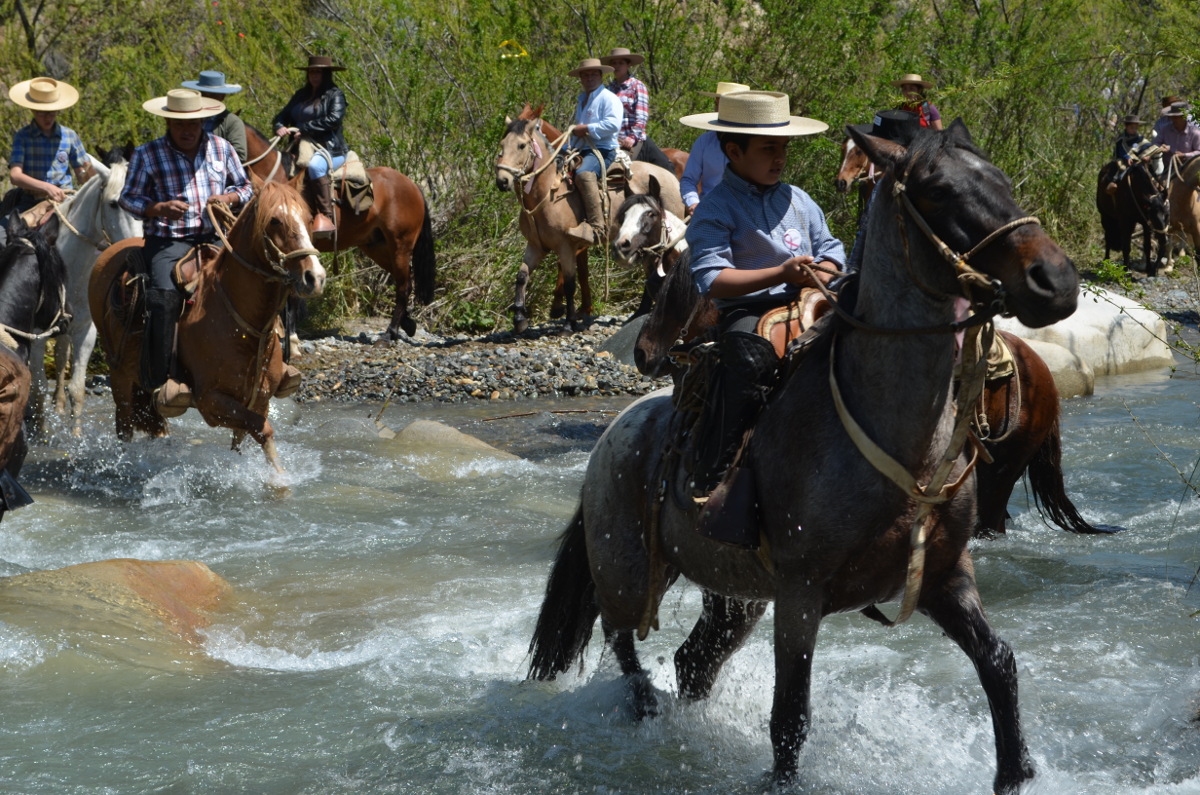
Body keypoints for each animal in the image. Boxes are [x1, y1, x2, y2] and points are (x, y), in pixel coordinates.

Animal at [29, 148, 140, 437]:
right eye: (113, 203)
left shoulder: (85, 332)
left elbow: (77, 389)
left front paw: (77, 435)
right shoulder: (36, 335)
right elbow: (37, 384)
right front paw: (40, 432)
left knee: (61, 358)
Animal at [87, 178, 328, 473]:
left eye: (308, 218)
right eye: (274, 221)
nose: (315, 277)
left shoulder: (259, 399)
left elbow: (248, 436)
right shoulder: (211, 401)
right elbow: (264, 430)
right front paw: (280, 480)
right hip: (120, 376)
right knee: (124, 428)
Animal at [241, 123, 434, 341]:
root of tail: (413, 186)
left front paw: (291, 333)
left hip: (401, 245)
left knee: (403, 286)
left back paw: (389, 333)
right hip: (377, 246)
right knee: (405, 281)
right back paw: (407, 324)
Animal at [496, 105, 686, 333]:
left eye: (522, 145)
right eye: (502, 145)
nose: (502, 180)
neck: (548, 194)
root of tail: (671, 176)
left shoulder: (566, 246)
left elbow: (570, 282)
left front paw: (569, 320)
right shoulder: (536, 246)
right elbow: (522, 276)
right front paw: (519, 318)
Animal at [525, 120, 1080, 795]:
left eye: (999, 178)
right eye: (939, 190)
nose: (1056, 281)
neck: (893, 436)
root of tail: (615, 434)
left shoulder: (946, 576)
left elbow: (998, 663)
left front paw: (1015, 773)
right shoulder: (800, 593)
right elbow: (789, 714)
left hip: (733, 595)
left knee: (692, 661)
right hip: (625, 571)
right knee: (625, 642)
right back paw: (646, 715)